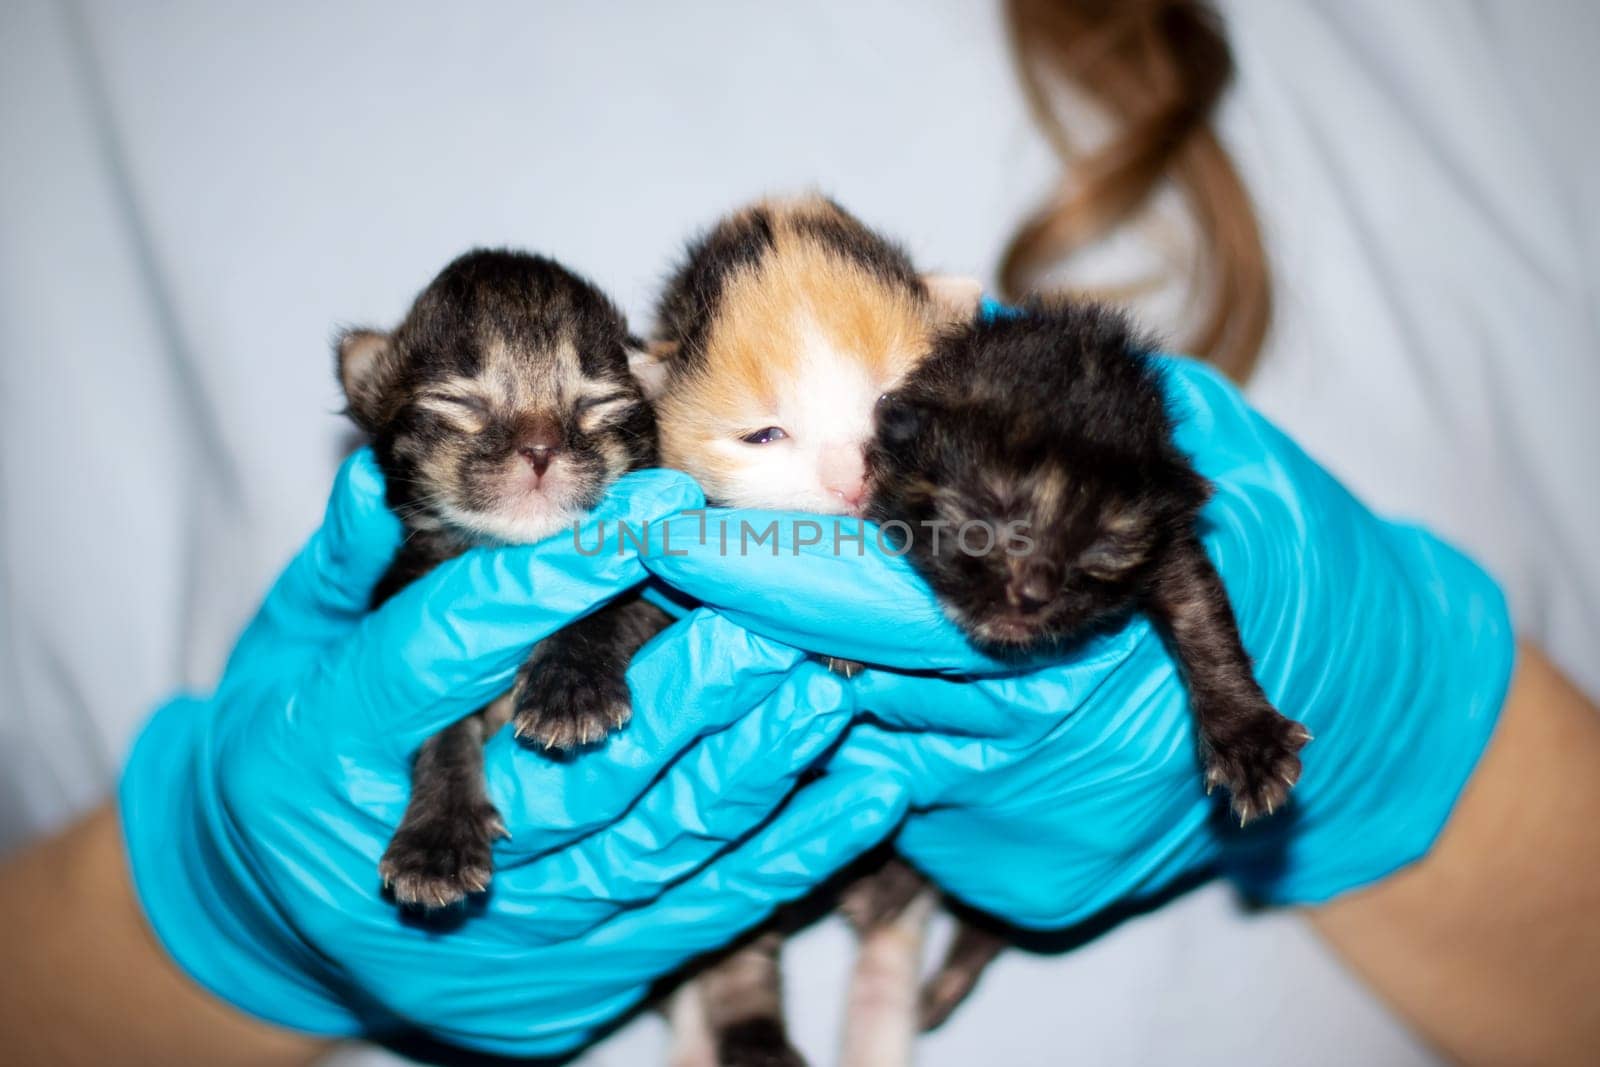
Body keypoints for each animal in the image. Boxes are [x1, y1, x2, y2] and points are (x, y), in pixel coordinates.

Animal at [334, 247, 665, 908]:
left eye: (597, 402)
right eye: (461, 402)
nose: (539, 450)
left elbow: (613, 608)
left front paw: (570, 686)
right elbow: (442, 728)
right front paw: (436, 838)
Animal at [864, 300, 1312, 825]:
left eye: (1102, 549)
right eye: (987, 514)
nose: (1032, 594)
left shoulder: (1170, 546)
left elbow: (1202, 617)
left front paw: (1250, 744)